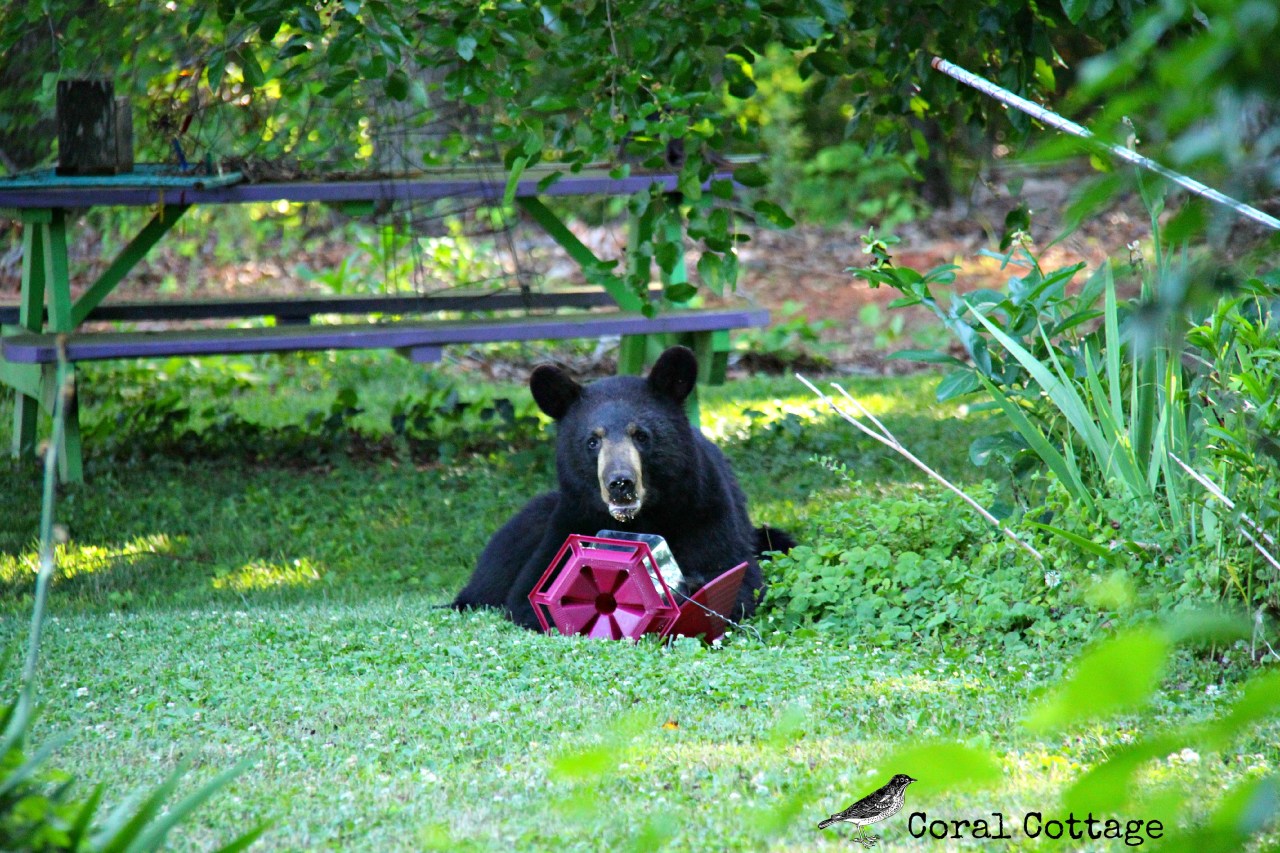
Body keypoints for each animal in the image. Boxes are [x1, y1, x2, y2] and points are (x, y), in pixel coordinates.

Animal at [452, 345, 795, 630]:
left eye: (641, 435)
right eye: (593, 441)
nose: (621, 483)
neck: (642, 518)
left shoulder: (702, 508)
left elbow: (736, 576)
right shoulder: (574, 517)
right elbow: (529, 595)